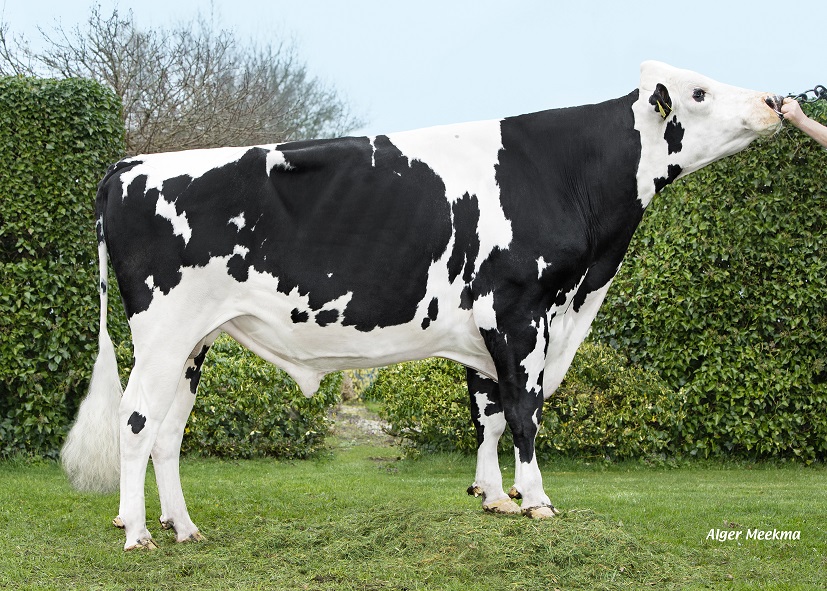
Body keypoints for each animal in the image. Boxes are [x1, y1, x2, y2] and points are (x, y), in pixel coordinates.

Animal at [61, 61, 785, 550]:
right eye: (699, 92)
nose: (776, 99)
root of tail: (129, 165)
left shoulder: (486, 328)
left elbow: (487, 415)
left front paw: (493, 497)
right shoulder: (518, 312)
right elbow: (523, 412)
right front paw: (536, 500)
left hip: (193, 341)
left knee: (169, 429)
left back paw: (182, 526)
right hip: (162, 329)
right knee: (135, 418)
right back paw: (137, 533)